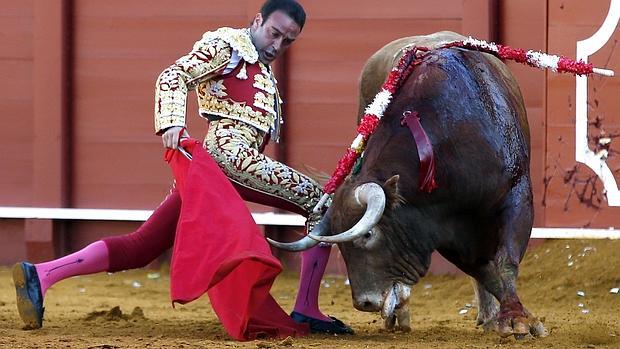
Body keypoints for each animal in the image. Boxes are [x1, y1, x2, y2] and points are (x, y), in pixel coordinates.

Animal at [268, 32, 544, 338]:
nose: (365, 303)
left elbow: (506, 262)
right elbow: (485, 271)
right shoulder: (439, 228)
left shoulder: (516, 196)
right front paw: (515, 317)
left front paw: (517, 319)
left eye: (368, 234)